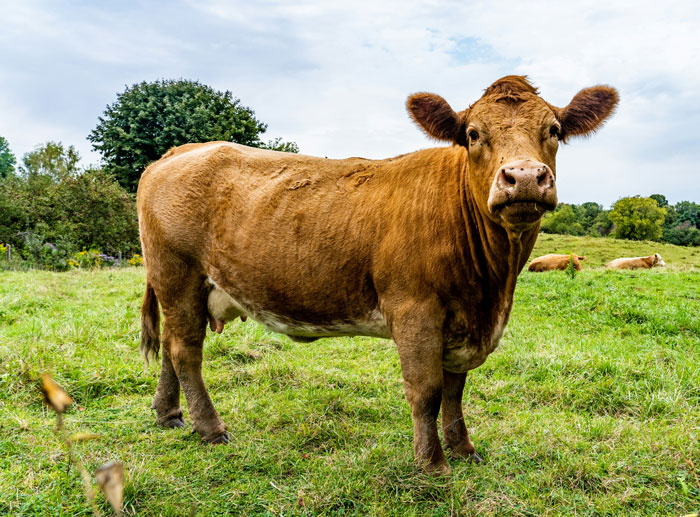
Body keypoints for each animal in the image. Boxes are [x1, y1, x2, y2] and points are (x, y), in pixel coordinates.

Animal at [137, 76, 618, 473]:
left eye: (553, 131)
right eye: (473, 134)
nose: (524, 177)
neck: (492, 289)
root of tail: (182, 150)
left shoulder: (464, 321)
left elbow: (455, 388)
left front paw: (464, 450)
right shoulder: (415, 310)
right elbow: (427, 389)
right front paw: (433, 464)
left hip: (178, 286)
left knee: (171, 345)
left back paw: (169, 414)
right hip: (178, 274)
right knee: (185, 350)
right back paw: (209, 428)